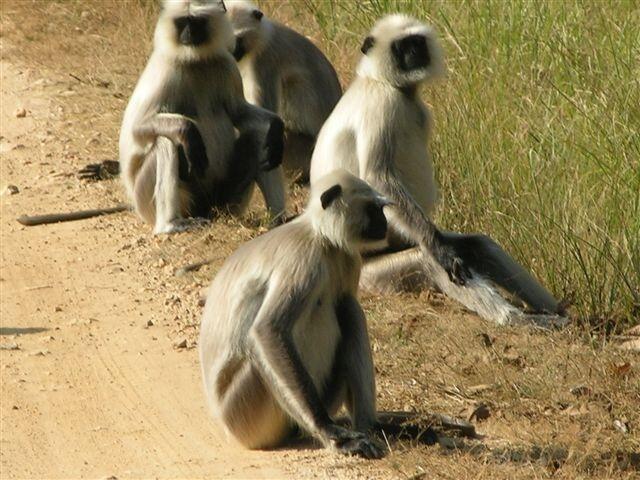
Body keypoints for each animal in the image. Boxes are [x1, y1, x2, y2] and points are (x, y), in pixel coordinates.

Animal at [200, 169, 390, 458]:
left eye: (380, 210)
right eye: (373, 209)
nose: (385, 223)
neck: (321, 237)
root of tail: (225, 425)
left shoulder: (347, 257)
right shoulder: (303, 258)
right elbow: (268, 330)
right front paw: (328, 429)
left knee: (348, 307)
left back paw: (369, 426)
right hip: (245, 411)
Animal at [310, 15, 564, 330]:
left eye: (416, 42)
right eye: (401, 47)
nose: (414, 53)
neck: (386, 84)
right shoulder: (381, 105)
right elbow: (378, 177)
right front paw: (442, 252)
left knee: (477, 245)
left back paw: (558, 313)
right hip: (377, 273)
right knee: (428, 259)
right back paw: (514, 319)